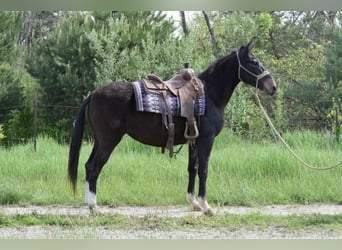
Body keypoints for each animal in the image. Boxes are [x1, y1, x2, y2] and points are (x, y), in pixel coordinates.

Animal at [68, 37, 276, 215]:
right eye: (253, 61)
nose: (273, 86)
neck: (208, 95)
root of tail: (93, 94)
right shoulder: (206, 140)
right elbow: (203, 170)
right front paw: (206, 206)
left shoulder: (194, 140)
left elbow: (192, 168)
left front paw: (193, 203)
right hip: (108, 141)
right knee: (94, 167)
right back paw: (94, 207)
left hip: (99, 141)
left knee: (88, 166)